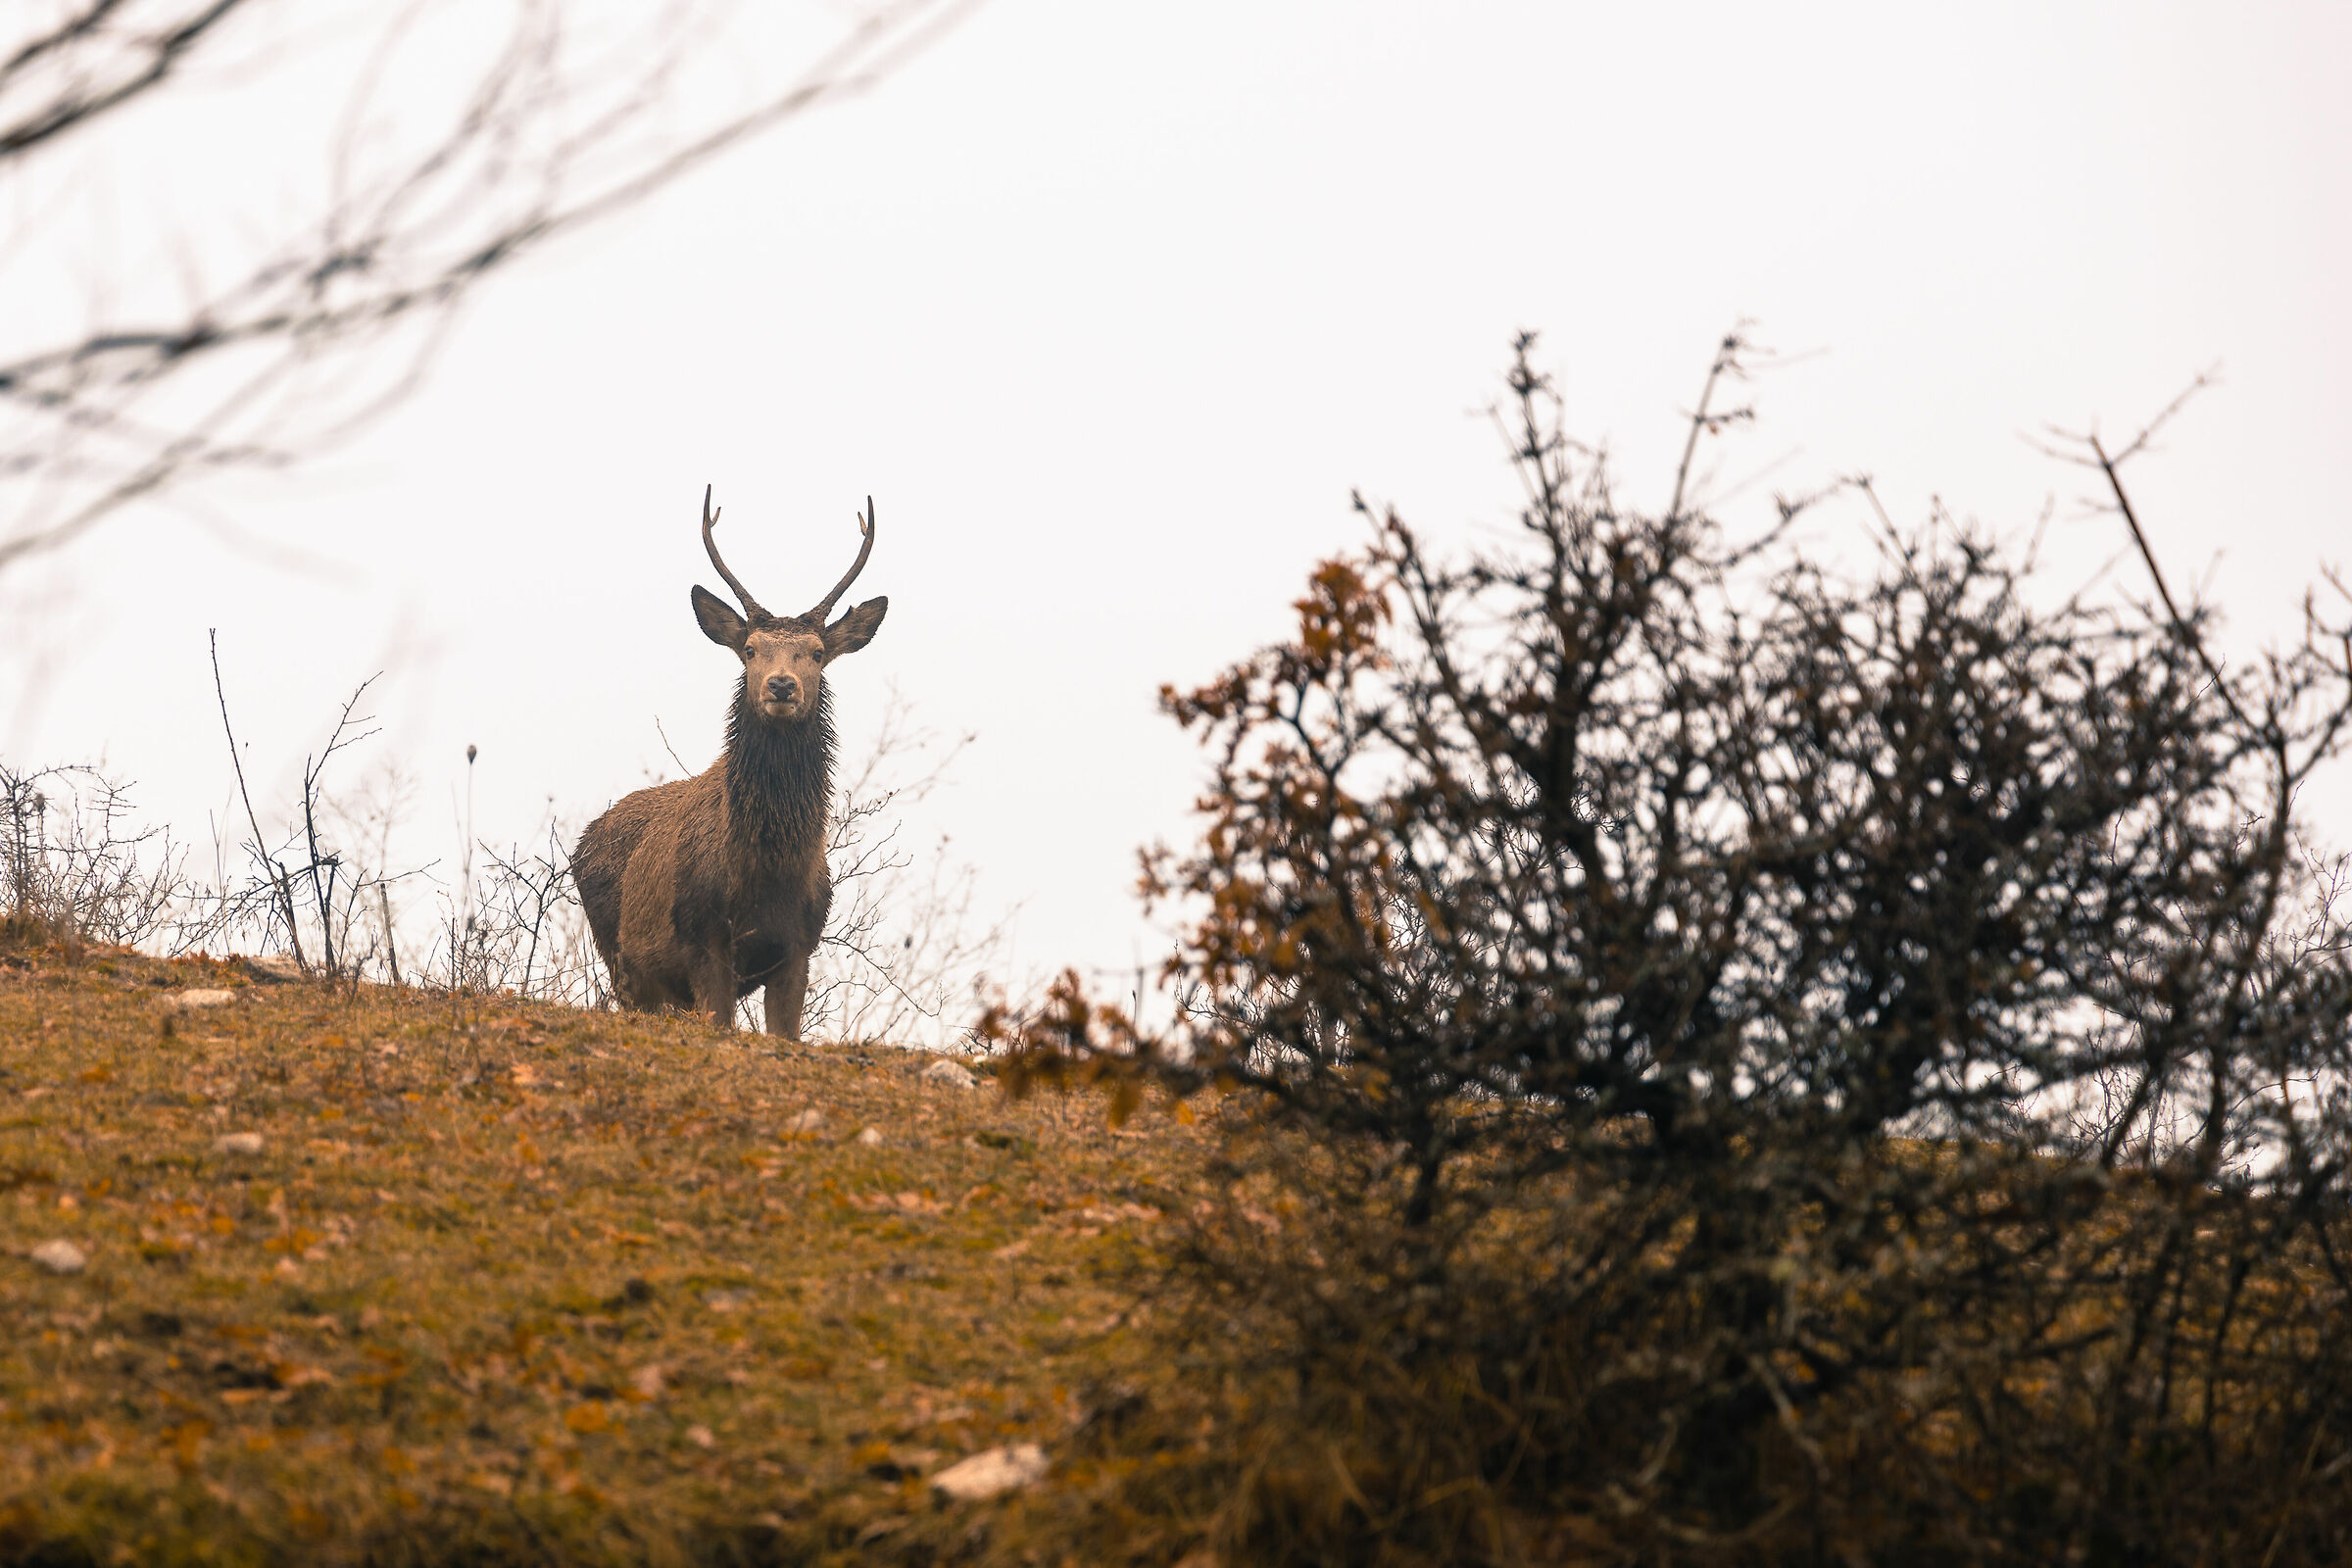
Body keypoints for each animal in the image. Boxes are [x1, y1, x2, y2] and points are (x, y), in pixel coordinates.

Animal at [572, 485, 886, 1037]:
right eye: (751, 649)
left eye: (817, 652)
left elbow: (786, 1032)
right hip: (620, 955)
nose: (781, 685)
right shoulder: (702, 938)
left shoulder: (799, 945)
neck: (766, 875)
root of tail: (582, 842)